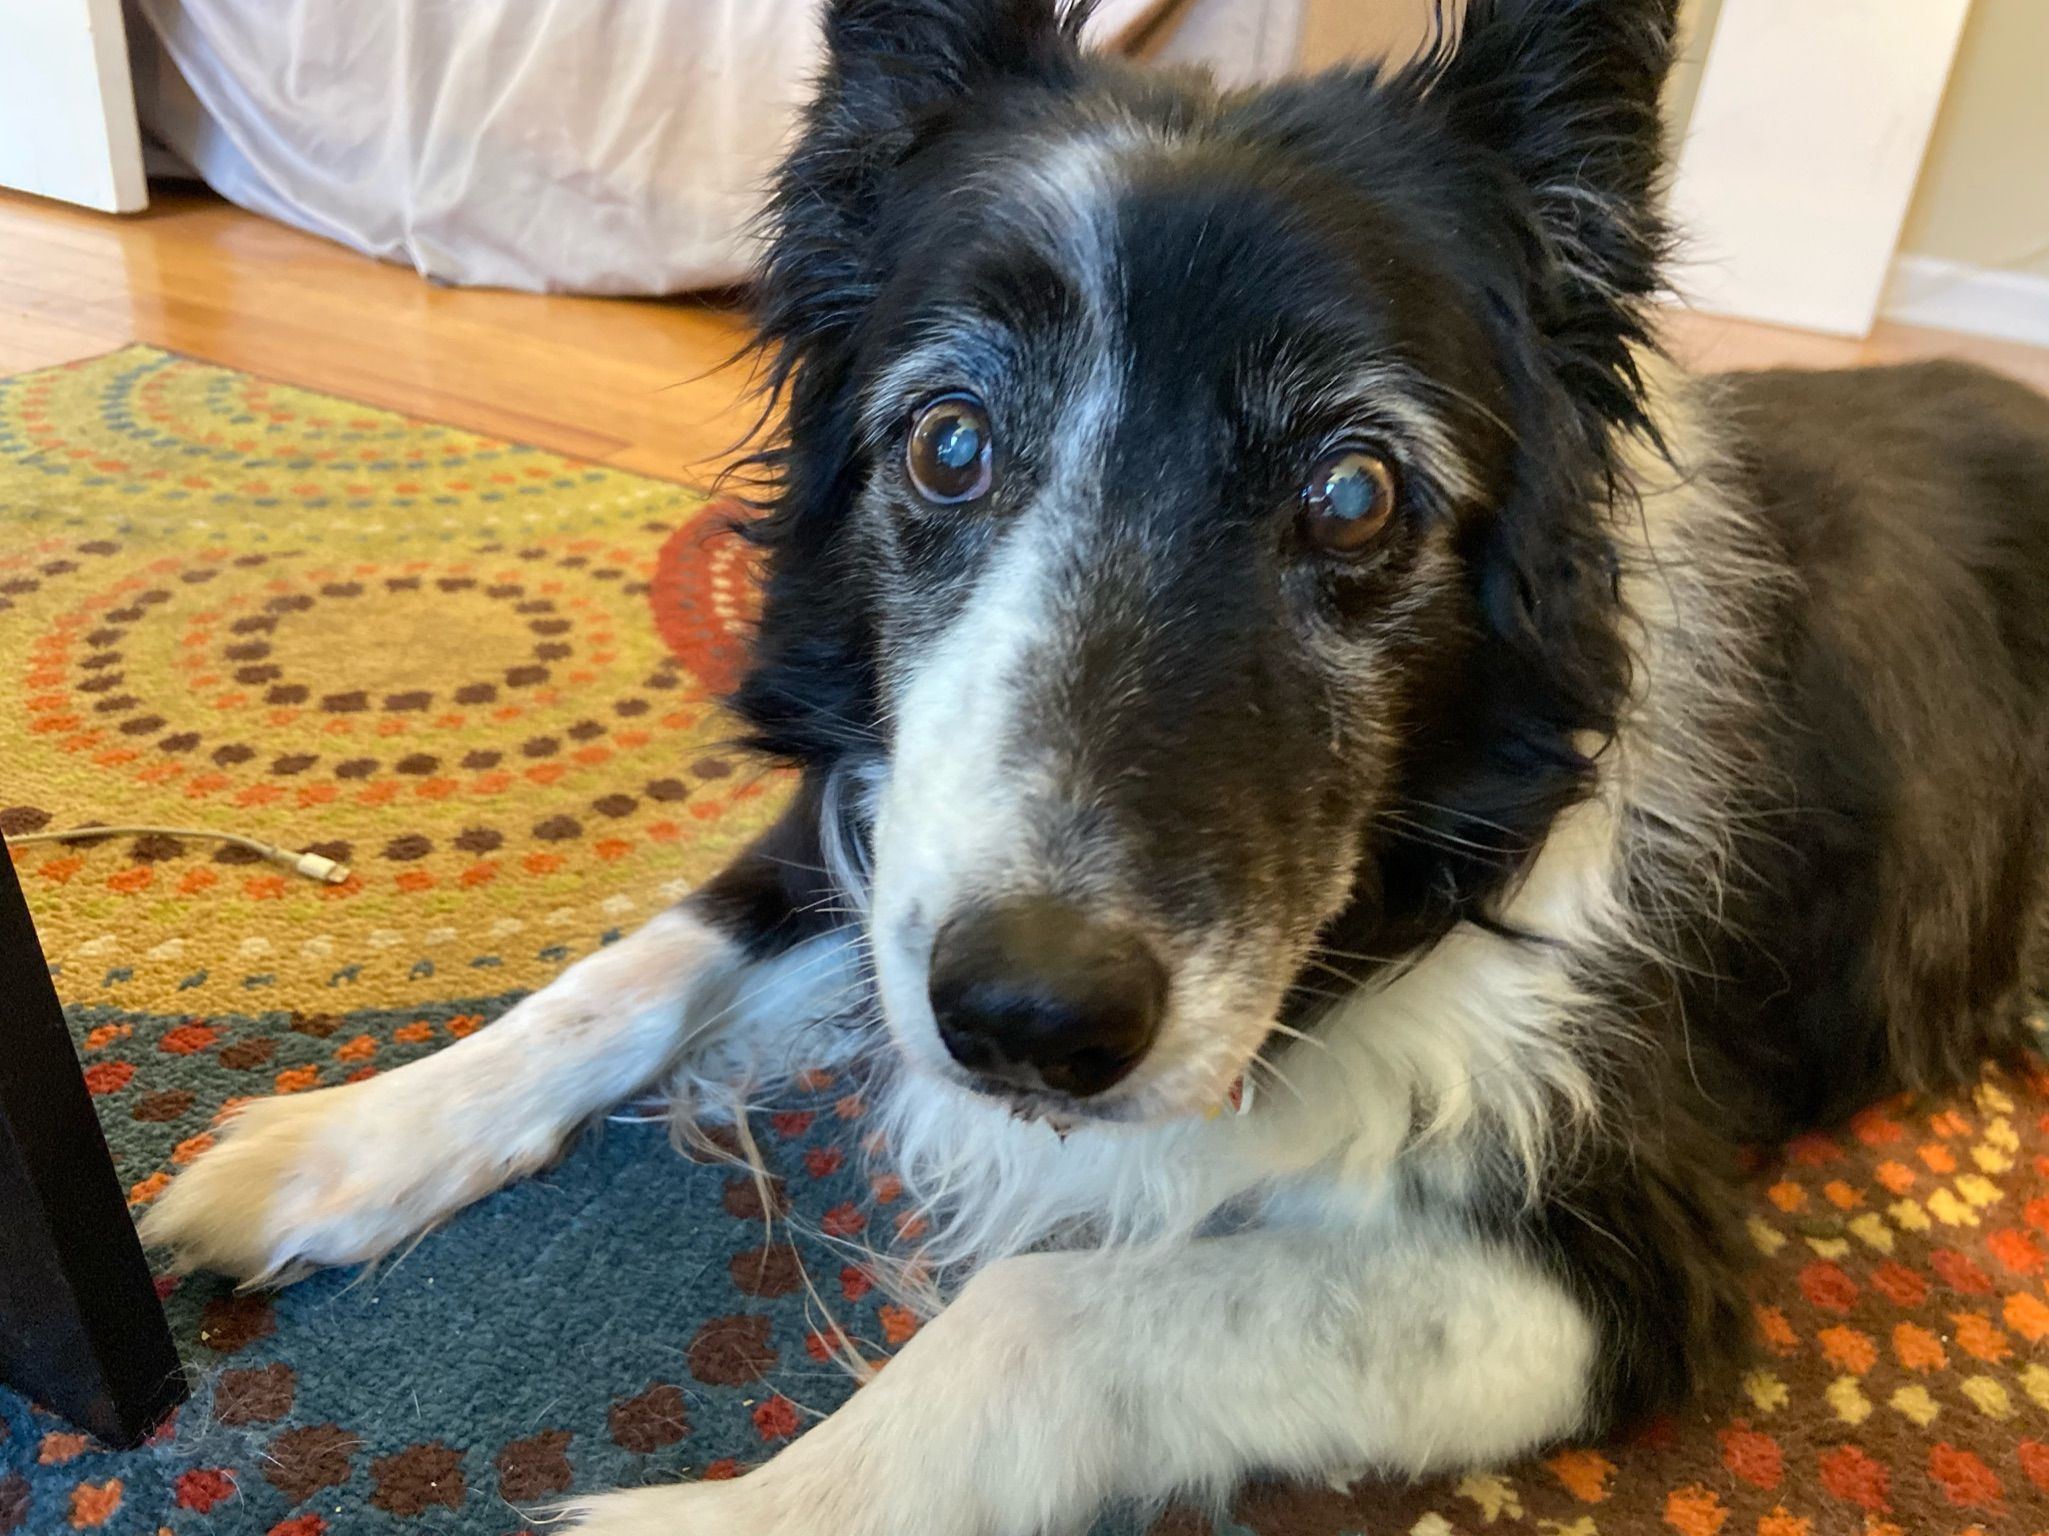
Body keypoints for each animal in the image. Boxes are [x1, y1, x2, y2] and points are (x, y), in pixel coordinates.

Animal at [144, 0, 2049, 1531]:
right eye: (947, 443)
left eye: (1353, 491)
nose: (1023, 1021)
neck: (1412, 869)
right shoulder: (883, 824)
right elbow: (630, 968)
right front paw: (326, 1147)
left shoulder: (1620, 1246)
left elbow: (1044, 1311)